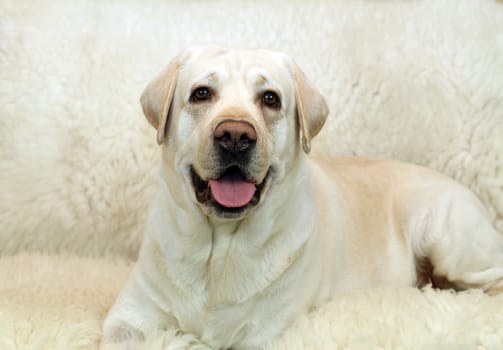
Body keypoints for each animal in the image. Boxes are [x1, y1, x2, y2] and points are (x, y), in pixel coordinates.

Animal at [102, 46, 503, 350]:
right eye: (201, 93)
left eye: (270, 98)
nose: (235, 136)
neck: (218, 250)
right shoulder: (127, 321)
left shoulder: (265, 335)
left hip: (445, 236)